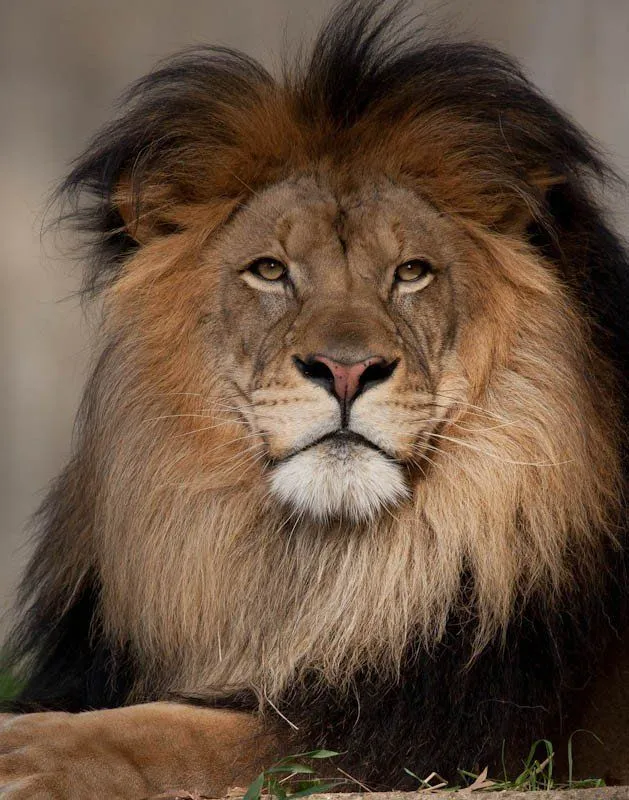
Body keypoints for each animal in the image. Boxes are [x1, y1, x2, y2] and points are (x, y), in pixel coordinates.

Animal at [2, 0, 629, 797]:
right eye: (270, 270)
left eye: (411, 272)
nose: (345, 369)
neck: (312, 568)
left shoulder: (410, 736)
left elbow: (170, 731)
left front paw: (27, 750)